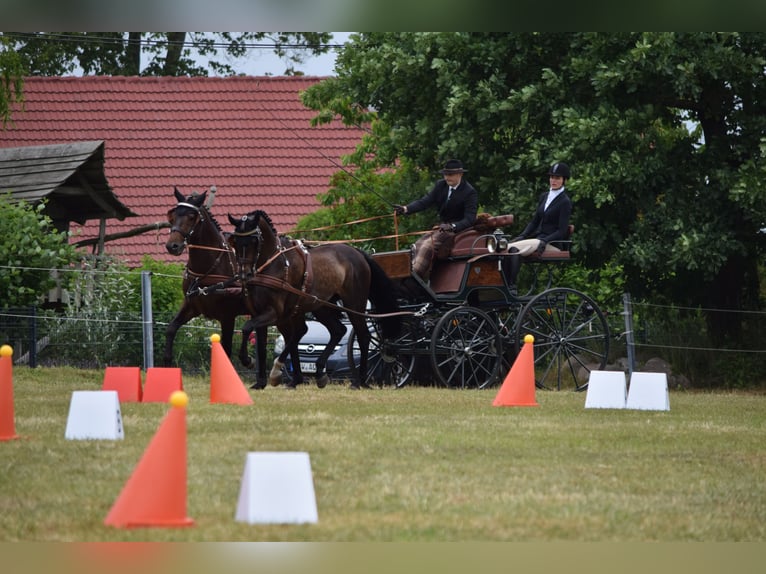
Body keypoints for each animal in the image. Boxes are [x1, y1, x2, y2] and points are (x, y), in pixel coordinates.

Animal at [164, 189, 268, 392]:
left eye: (192, 216)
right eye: (172, 215)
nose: (173, 246)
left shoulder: (227, 316)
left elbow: (226, 348)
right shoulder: (191, 307)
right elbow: (171, 329)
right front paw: (166, 365)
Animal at [226, 212, 402, 392]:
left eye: (254, 241)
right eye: (235, 242)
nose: (244, 274)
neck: (273, 265)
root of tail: (358, 253)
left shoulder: (275, 312)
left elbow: (249, 328)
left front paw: (261, 367)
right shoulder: (261, 313)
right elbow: (261, 342)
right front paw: (260, 382)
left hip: (354, 304)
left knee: (363, 336)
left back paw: (360, 381)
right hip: (322, 307)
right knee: (338, 330)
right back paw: (320, 373)